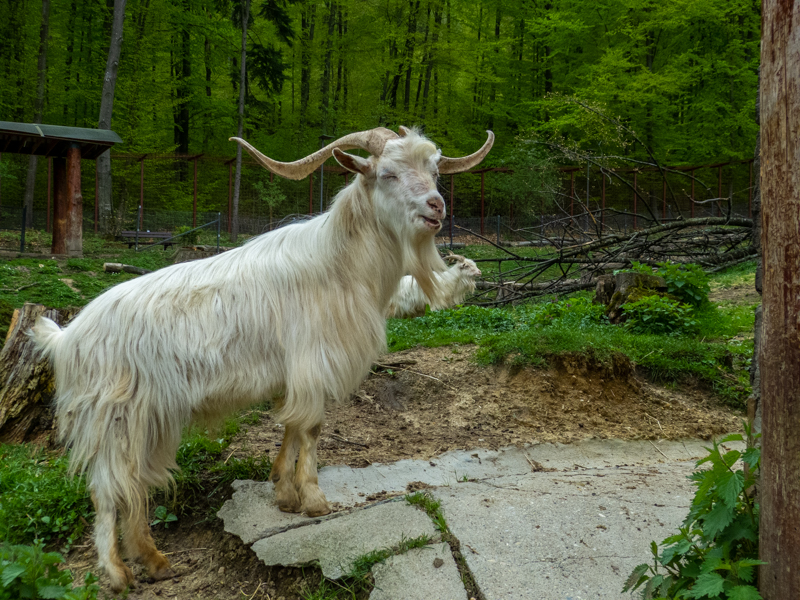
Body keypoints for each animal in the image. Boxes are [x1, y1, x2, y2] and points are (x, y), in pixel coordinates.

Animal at [32, 126, 493, 592]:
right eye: (388, 174)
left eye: (434, 171)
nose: (436, 206)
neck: (340, 263)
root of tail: (68, 337)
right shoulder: (312, 362)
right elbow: (311, 427)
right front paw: (313, 499)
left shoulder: (294, 375)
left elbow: (290, 426)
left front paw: (283, 491)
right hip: (114, 418)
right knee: (108, 489)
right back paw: (117, 572)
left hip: (147, 421)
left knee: (133, 487)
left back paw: (155, 561)